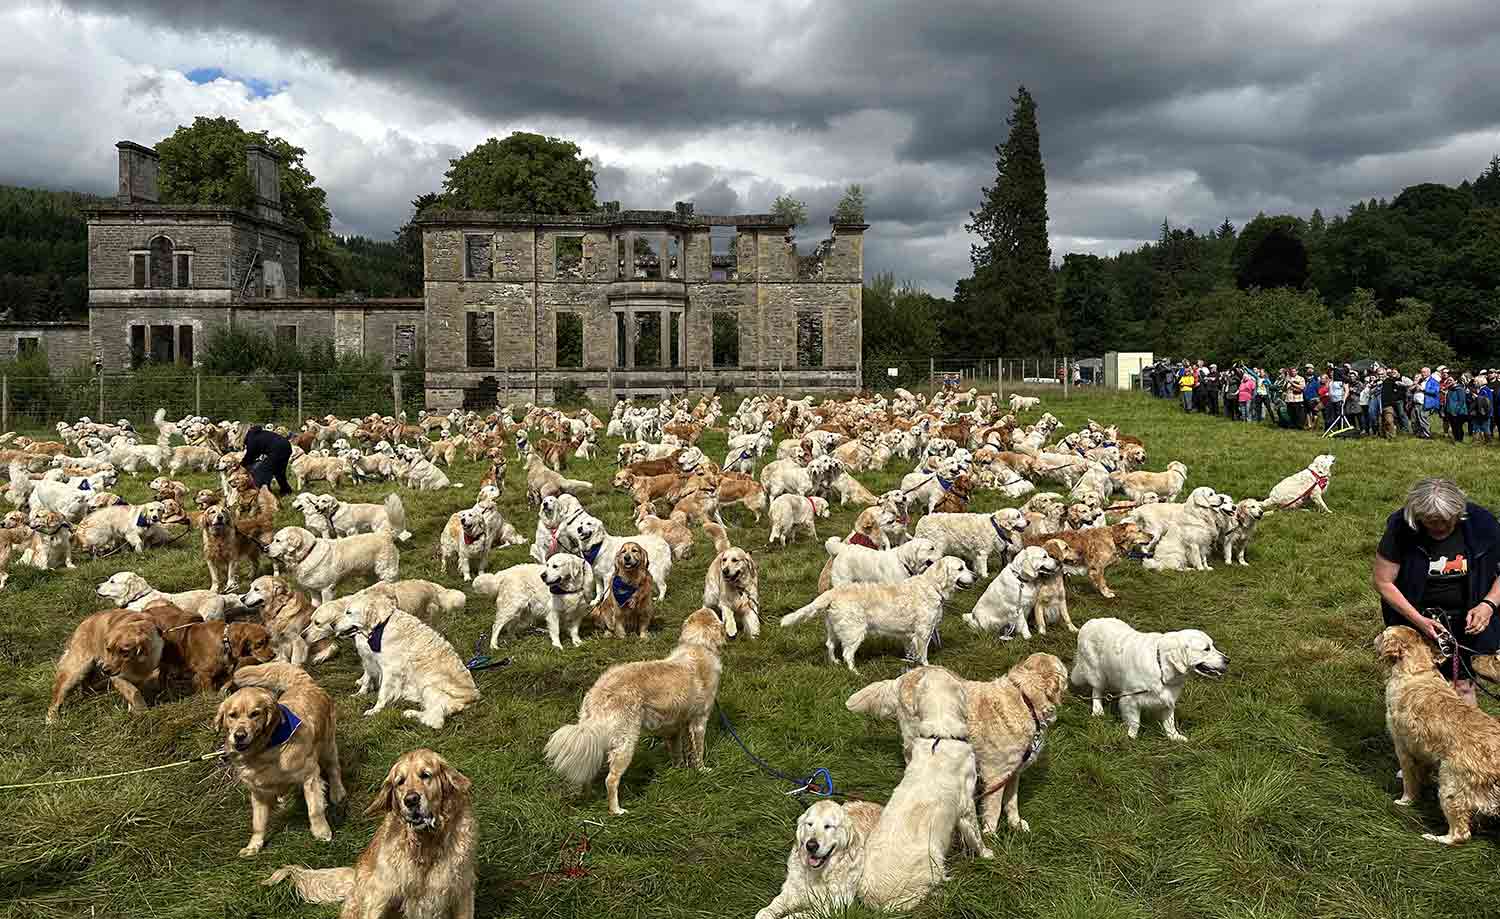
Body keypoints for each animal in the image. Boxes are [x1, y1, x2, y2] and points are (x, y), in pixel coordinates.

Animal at [219, 662, 343, 857]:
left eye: (255, 714)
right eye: (232, 715)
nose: (239, 736)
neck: (265, 751)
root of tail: (306, 683)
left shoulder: (310, 775)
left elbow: (314, 809)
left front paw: (321, 831)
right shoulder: (258, 792)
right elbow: (258, 823)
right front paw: (254, 846)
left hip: (327, 745)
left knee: (333, 769)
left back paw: (337, 792)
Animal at [264, 749, 474, 911]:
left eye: (426, 775)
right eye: (400, 782)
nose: (411, 800)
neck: (427, 845)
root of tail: (355, 874)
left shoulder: (463, 891)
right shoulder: (380, 895)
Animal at [546, 608, 732, 809]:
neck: (698, 645)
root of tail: (597, 693)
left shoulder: (674, 727)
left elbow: (677, 752)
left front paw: (679, 770)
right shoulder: (699, 722)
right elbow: (698, 751)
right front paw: (702, 769)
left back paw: (589, 798)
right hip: (626, 743)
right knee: (611, 780)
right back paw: (617, 810)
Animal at [1074, 617, 1224, 737]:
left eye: (1212, 646)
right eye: (1206, 649)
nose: (1227, 660)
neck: (1161, 667)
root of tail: (1090, 622)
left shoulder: (1168, 697)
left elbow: (1169, 721)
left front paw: (1174, 737)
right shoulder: (1131, 698)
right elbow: (1135, 722)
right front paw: (1131, 737)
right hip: (1096, 672)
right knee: (1096, 690)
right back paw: (1097, 710)